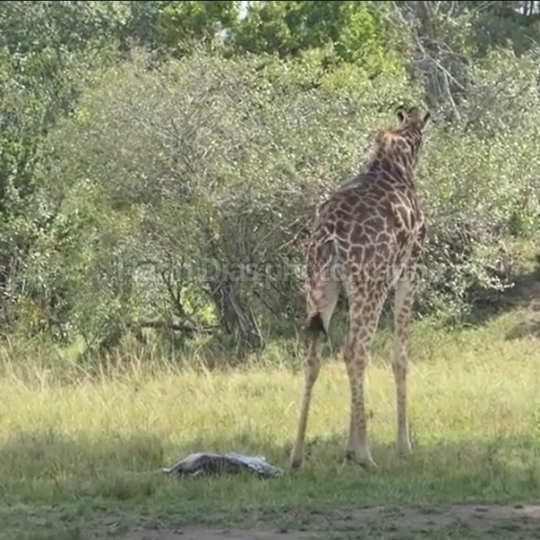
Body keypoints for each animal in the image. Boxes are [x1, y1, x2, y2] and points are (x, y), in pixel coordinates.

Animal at [288, 104, 432, 468]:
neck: (399, 160)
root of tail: (329, 236)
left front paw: (347, 448)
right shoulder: (410, 268)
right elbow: (400, 355)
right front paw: (403, 445)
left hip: (322, 283)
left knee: (315, 353)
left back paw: (297, 454)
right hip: (371, 283)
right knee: (356, 350)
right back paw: (368, 455)